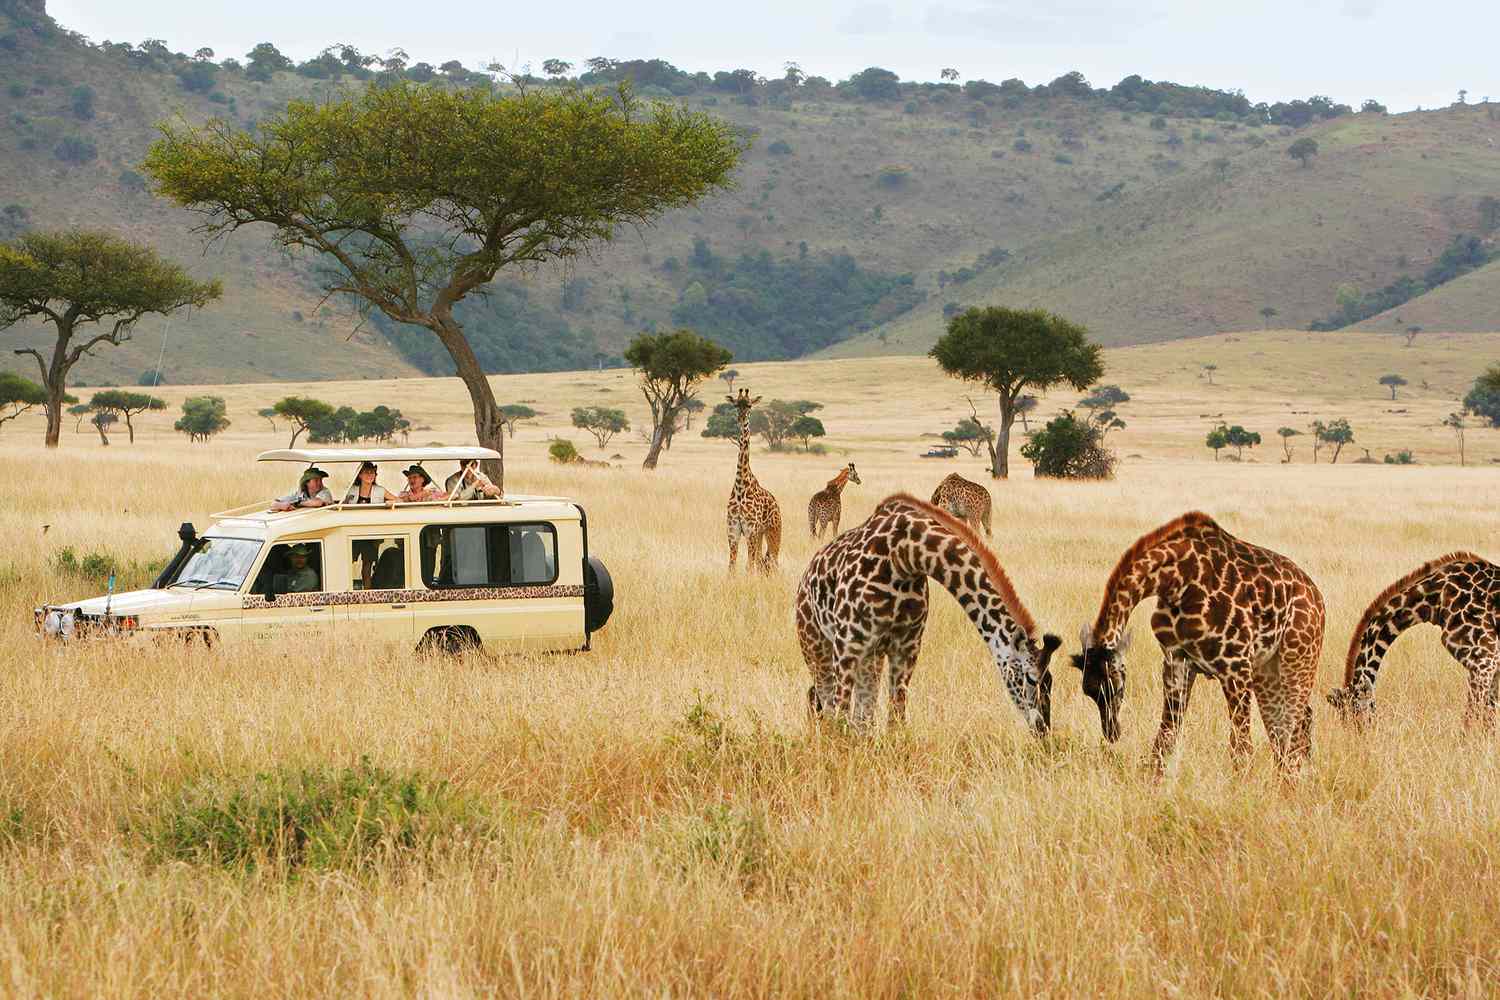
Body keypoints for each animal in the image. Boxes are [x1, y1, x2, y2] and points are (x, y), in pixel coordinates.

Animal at [726, 392, 786, 578]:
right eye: (736, 405)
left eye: (750, 405)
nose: (741, 418)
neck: (741, 486)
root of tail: (776, 502)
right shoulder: (733, 530)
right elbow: (732, 566)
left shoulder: (750, 529)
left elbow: (749, 566)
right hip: (760, 535)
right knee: (761, 561)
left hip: (773, 531)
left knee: (773, 560)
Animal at [1074, 512, 1332, 779]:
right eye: (1089, 691)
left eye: (1116, 688)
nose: (1112, 732)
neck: (1176, 581)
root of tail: (1317, 596)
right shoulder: (1177, 660)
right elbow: (1165, 738)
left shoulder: (1236, 665)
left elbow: (1241, 748)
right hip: (1267, 670)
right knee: (1288, 727)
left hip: (1297, 658)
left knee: (1293, 725)